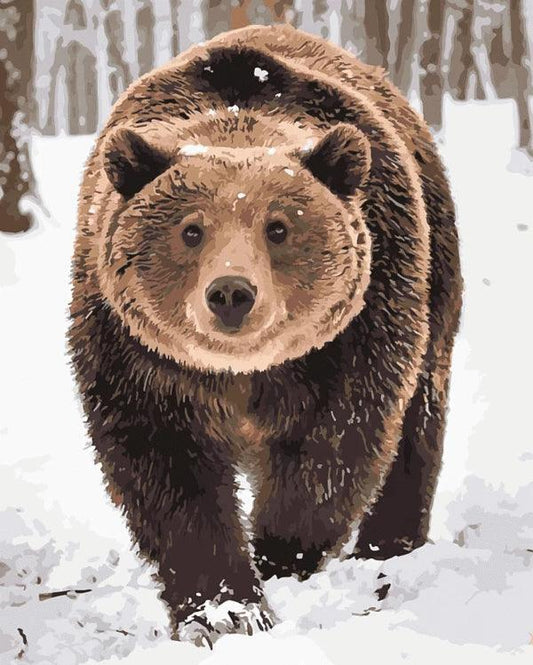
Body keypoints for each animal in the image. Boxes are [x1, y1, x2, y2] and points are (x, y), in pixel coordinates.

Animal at [68, 23, 462, 645]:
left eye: (278, 227)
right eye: (191, 230)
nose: (231, 292)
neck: (243, 373)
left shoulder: (358, 330)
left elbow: (336, 446)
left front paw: (278, 555)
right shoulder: (134, 353)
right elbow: (168, 473)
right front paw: (225, 609)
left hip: (435, 278)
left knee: (418, 424)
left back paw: (389, 548)